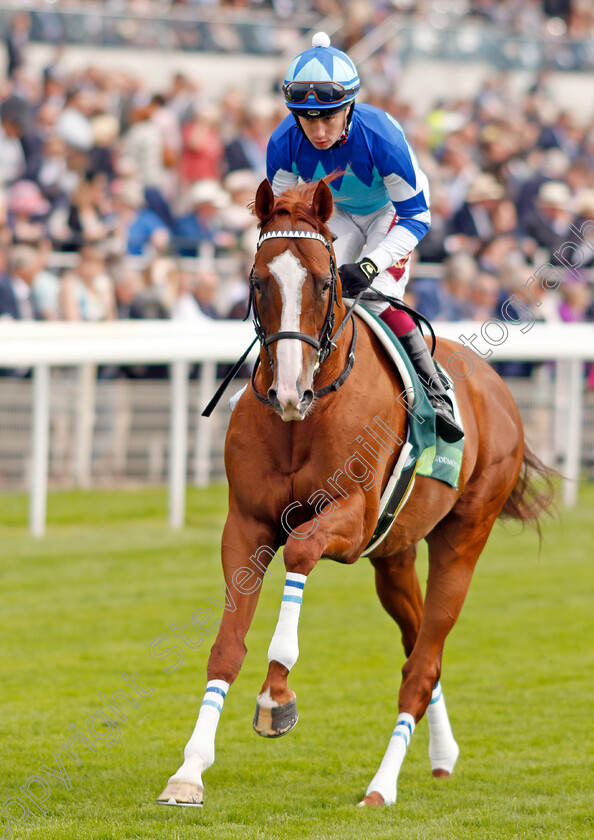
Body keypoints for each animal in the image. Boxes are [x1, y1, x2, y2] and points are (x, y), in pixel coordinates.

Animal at [157, 180, 552, 812]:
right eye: (256, 280)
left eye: (324, 282)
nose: (290, 390)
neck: (304, 417)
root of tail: (496, 386)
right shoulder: (246, 525)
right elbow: (226, 646)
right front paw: (189, 771)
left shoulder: (351, 519)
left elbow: (300, 551)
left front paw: (276, 694)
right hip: (394, 555)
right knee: (421, 651)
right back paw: (442, 756)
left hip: (463, 537)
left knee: (422, 667)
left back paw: (380, 787)